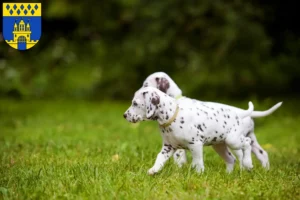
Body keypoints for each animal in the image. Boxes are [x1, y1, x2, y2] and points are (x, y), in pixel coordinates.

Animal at [123, 86, 254, 174]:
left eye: (135, 103)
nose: (124, 115)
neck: (172, 116)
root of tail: (238, 114)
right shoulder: (168, 147)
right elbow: (159, 158)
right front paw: (154, 170)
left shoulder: (195, 144)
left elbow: (197, 162)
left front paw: (199, 174)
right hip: (219, 145)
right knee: (230, 159)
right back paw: (228, 175)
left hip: (233, 140)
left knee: (247, 143)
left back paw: (248, 163)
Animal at [141, 72, 282, 170]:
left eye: (146, 84)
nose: (139, 91)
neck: (175, 100)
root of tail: (244, 113)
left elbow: (179, 157)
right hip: (250, 138)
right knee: (262, 154)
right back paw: (265, 171)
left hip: (234, 140)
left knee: (242, 155)